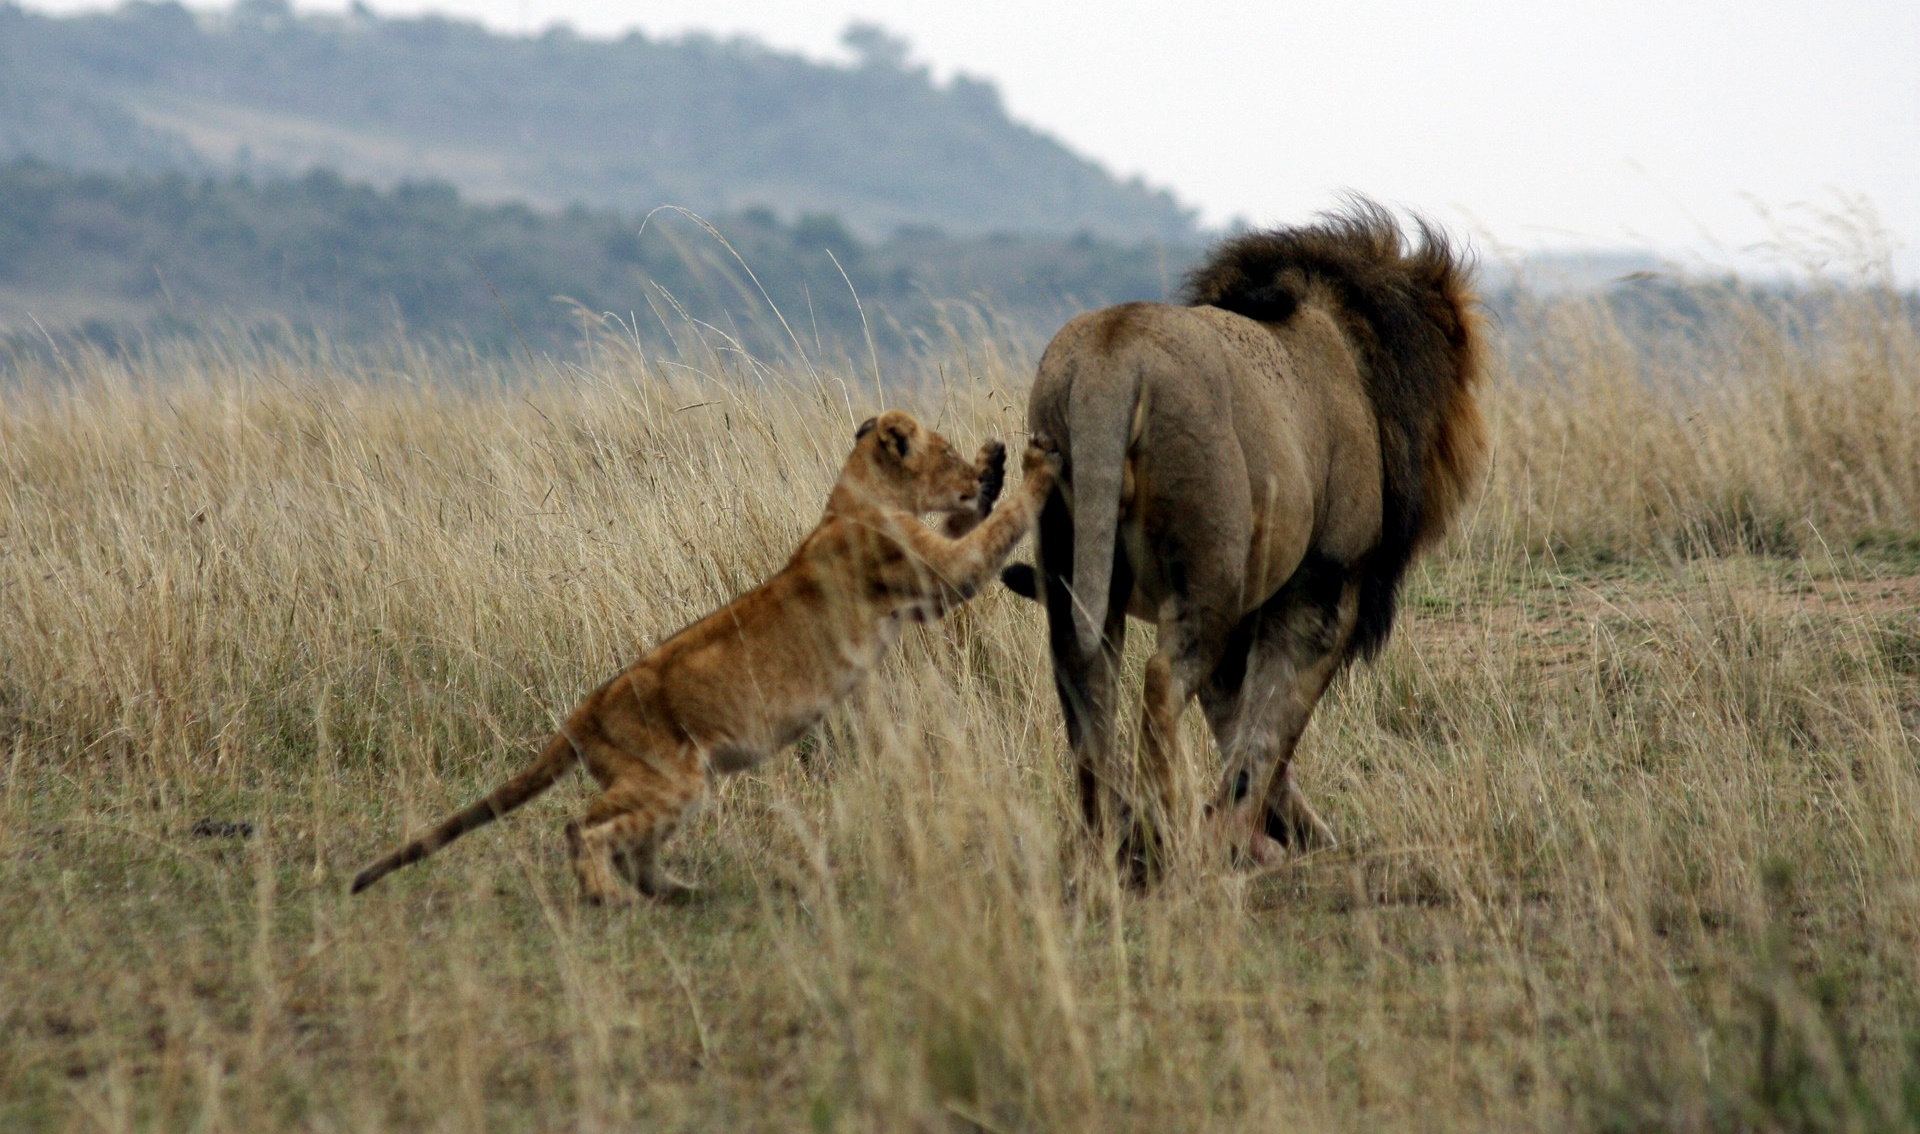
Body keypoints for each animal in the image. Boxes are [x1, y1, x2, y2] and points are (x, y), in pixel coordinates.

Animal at [353, 410, 1059, 905]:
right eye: (945, 453)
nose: (972, 470)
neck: (854, 499)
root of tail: (583, 713)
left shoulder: (926, 583)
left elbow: (972, 529)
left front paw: (997, 466)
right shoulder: (936, 577)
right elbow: (994, 532)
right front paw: (1030, 466)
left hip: (660, 784)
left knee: (626, 845)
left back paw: (680, 893)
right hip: (672, 780)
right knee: (584, 831)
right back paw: (608, 898)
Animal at [1013, 204, 1489, 874]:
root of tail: (1112, 363)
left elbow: (1240, 721)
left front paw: (1279, 834)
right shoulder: (1324, 587)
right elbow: (1269, 725)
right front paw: (1248, 837)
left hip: (1076, 559)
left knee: (1087, 689)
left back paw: (1108, 841)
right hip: (1213, 571)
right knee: (1161, 680)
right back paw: (1164, 841)